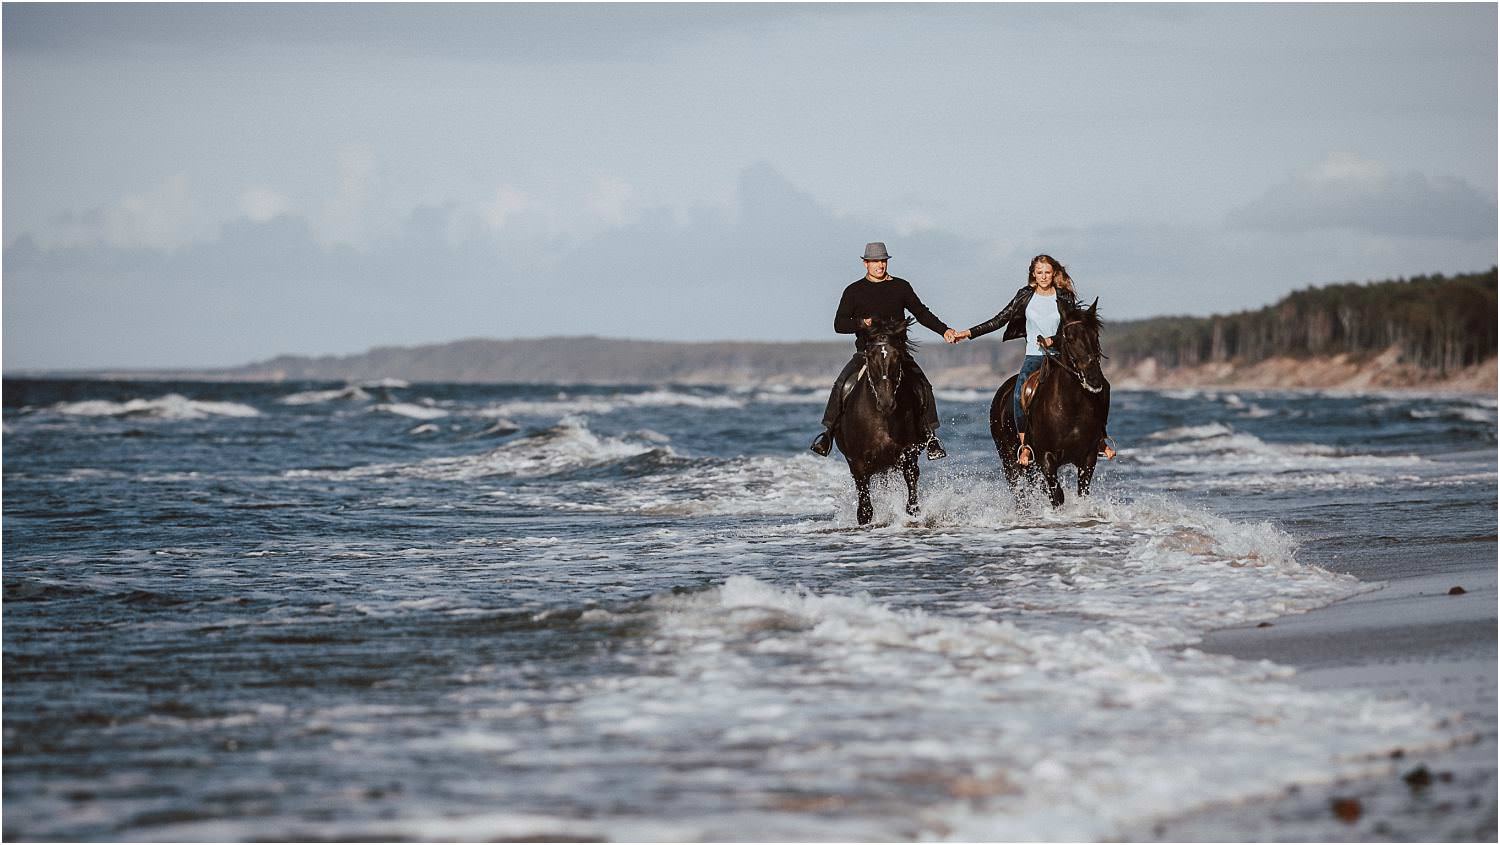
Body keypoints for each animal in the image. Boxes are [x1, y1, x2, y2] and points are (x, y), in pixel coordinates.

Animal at [834, 318, 924, 525]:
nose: (886, 402)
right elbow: (865, 507)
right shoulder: (858, 462)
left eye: (897, 357)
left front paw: (913, 511)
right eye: (870, 357)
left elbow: (911, 479)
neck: (883, 420)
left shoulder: (908, 453)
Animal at [990, 300, 1110, 507]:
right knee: (1019, 493)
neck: (1071, 407)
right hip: (1009, 460)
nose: (1093, 378)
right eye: (1069, 338)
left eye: (1095, 335)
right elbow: (1057, 496)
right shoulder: (1045, 457)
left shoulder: (1088, 457)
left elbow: (1082, 494)